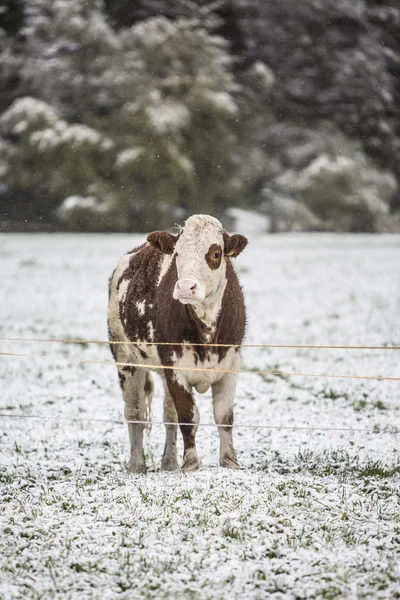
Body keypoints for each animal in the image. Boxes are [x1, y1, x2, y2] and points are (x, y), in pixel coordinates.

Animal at [108, 213, 248, 472]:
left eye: (215, 253)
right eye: (177, 254)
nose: (185, 287)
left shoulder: (231, 365)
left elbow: (224, 417)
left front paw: (230, 462)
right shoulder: (174, 368)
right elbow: (187, 416)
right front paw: (191, 463)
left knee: (168, 415)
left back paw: (169, 462)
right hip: (125, 357)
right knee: (135, 413)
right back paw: (137, 465)